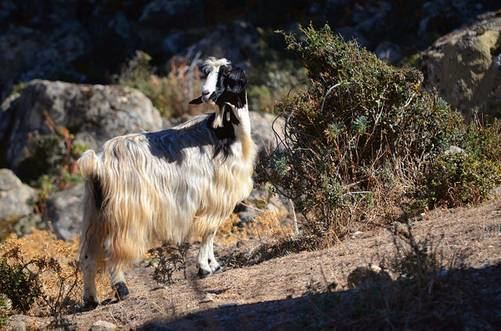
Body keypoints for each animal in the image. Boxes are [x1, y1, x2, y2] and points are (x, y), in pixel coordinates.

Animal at [80, 57, 258, 308]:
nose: (206, 93)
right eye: (207, 74)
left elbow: (210, 233)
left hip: (95, 213)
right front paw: (205, 267)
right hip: (125, 213)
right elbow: (209, 231)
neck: (225, 134)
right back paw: (122, 289)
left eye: (225, 74)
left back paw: (90, 299)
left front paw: (213, 264)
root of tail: (98, 163)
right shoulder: (215, 197)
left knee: (88, 254)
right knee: (110, 248)